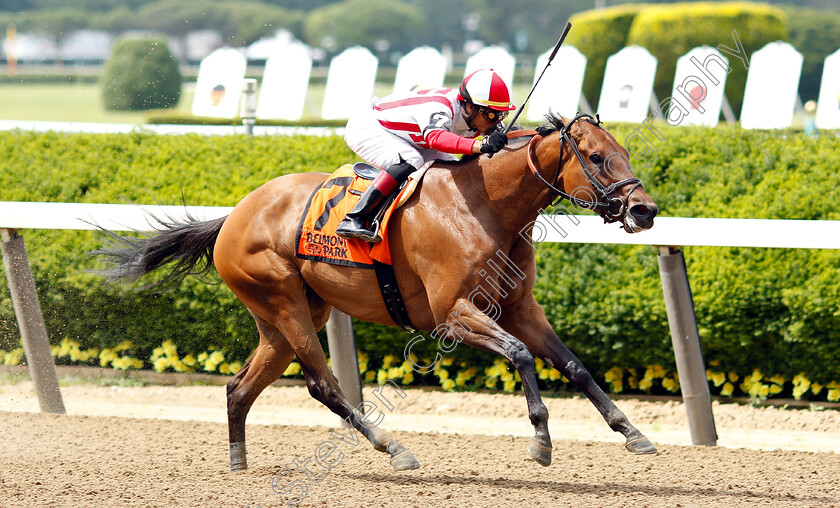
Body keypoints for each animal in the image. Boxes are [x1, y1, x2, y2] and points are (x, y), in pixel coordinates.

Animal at [97, 113, 656, 470]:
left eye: (625, 152)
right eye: (596, 157)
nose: (644, 210)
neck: (486, 205)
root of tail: (233, 215)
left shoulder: (519, 306)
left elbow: (574, 365)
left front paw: (633, 433)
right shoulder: (452, 315)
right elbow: (520, 354)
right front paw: (541, 440)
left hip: (287, 318)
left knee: (239, 387)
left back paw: (238, 461)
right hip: (285, 303)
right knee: (323, 385)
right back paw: (393, 448)